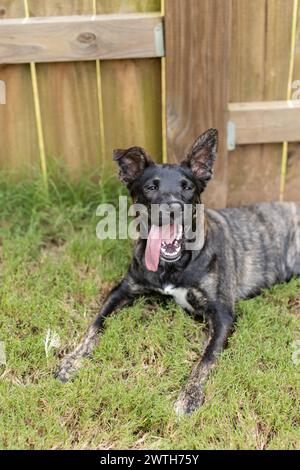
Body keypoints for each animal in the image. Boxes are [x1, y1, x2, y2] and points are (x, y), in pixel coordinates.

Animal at [54, 129, 300, 414]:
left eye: (188, 187)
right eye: (151, 187)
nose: (173, 210)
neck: (173, 264)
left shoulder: (223, 315)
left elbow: (206, 359)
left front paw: (189, 396)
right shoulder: (122, 290)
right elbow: (94, 326)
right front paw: (72, 361)